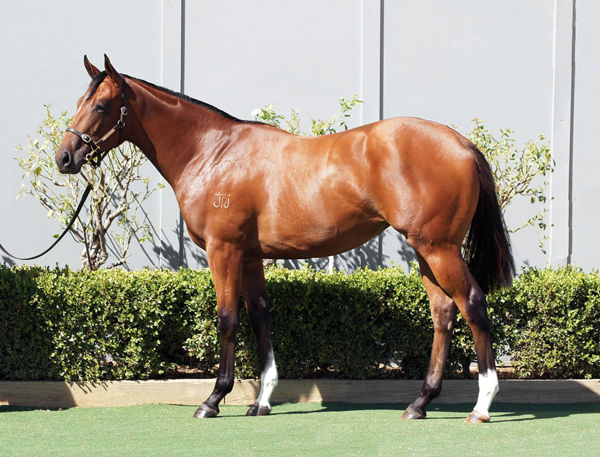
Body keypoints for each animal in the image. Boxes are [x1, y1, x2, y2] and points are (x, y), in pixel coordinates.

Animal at [57, 55, 516, 422]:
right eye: (79, 102)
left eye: (101, 105)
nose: (65, 157)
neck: (213, 153)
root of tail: (462, 143)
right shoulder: (249, 256)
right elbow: (260, 316)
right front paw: (260, 401)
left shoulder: (223, 250)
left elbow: (228, 318)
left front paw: (213, 399)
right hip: (427, 250)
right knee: (444, 311)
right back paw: (419, 403)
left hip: (438, 249)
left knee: (472, 303)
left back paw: (481, 406)